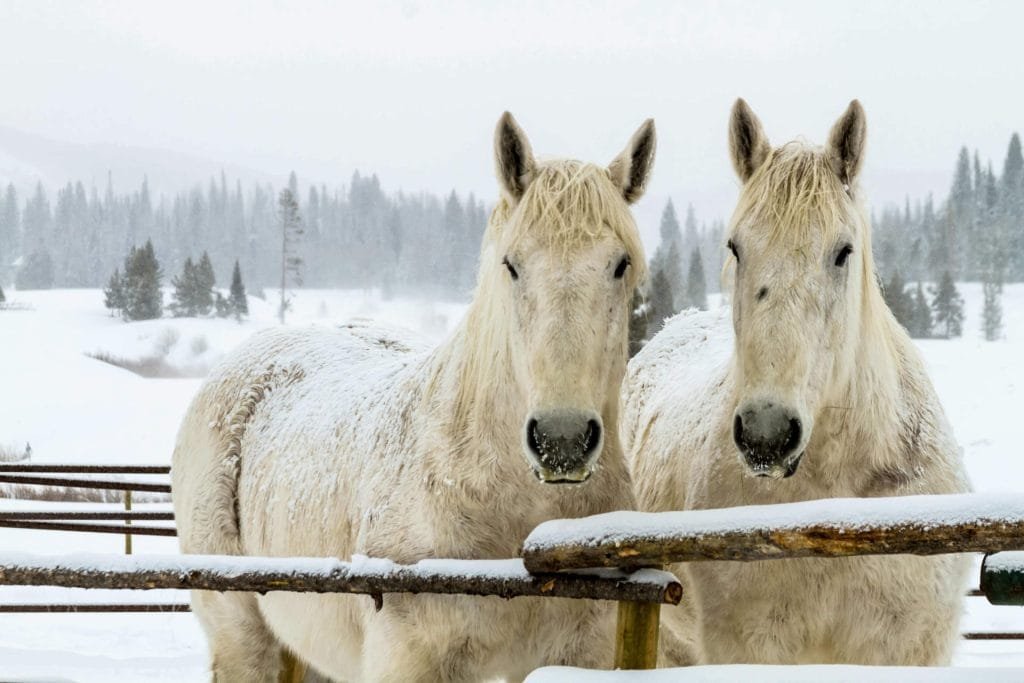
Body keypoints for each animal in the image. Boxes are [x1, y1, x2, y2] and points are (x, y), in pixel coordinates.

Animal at [172, 111, 656, 682]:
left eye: (620, 264)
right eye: (511, 264)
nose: (563, 440)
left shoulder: (582, 654)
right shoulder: (415, 660)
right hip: (242, 635)